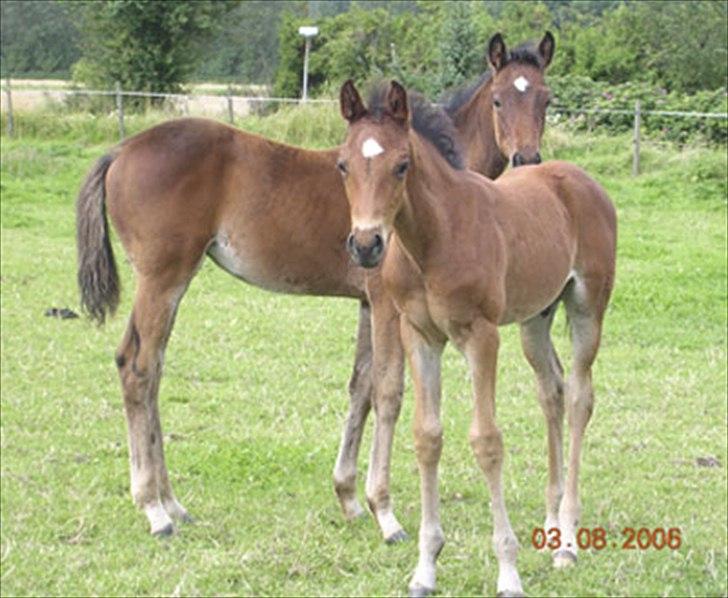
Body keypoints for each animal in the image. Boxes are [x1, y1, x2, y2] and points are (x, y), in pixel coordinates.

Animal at [77, 32, 556, 540]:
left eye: (546, 98)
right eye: (500, 99)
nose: (527, 159)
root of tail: (120, 151)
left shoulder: (367, 303)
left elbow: (361, 387)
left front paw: (349, 497)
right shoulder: (387, 304)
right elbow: (388, 391)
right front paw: (385, 513)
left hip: (167, 283)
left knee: (142, 364)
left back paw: (172, 502)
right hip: (163, 278)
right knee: (140, 368)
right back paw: (154, 509)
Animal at [338, 81, 616, 598]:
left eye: (401, 164)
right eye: (342, 164)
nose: (366, 245)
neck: (435, 237)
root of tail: (581, 179)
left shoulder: (481, 336)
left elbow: (486, 441)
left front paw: (508, 572)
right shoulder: (419, 335)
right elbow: (427, 437)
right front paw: (425, 568)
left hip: (588, 306)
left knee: (579, 398)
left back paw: (568, 541)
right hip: (535, 319)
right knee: (552, 391)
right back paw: (551, 526)